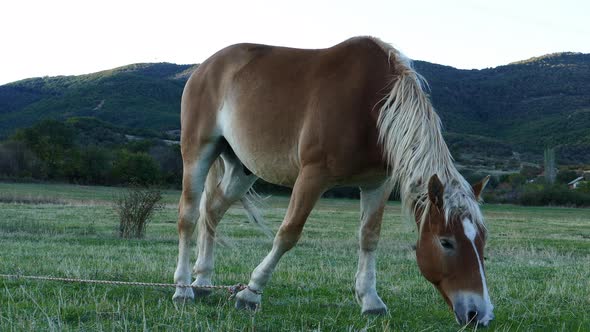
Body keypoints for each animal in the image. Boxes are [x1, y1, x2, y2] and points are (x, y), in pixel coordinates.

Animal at [173, 35, 498, 324]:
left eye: (482, 240)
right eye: (446, 242)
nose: (479, 314)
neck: (372, 105)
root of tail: (205, 66)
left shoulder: (377, 184)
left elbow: (369, 236)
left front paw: (370, 300)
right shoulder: (312, 176)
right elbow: (288, 233)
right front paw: (251, 292)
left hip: (241, 170)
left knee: (212, 212)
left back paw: (202, 281)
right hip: (198, 152)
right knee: (189, 216)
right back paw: (182, 288)